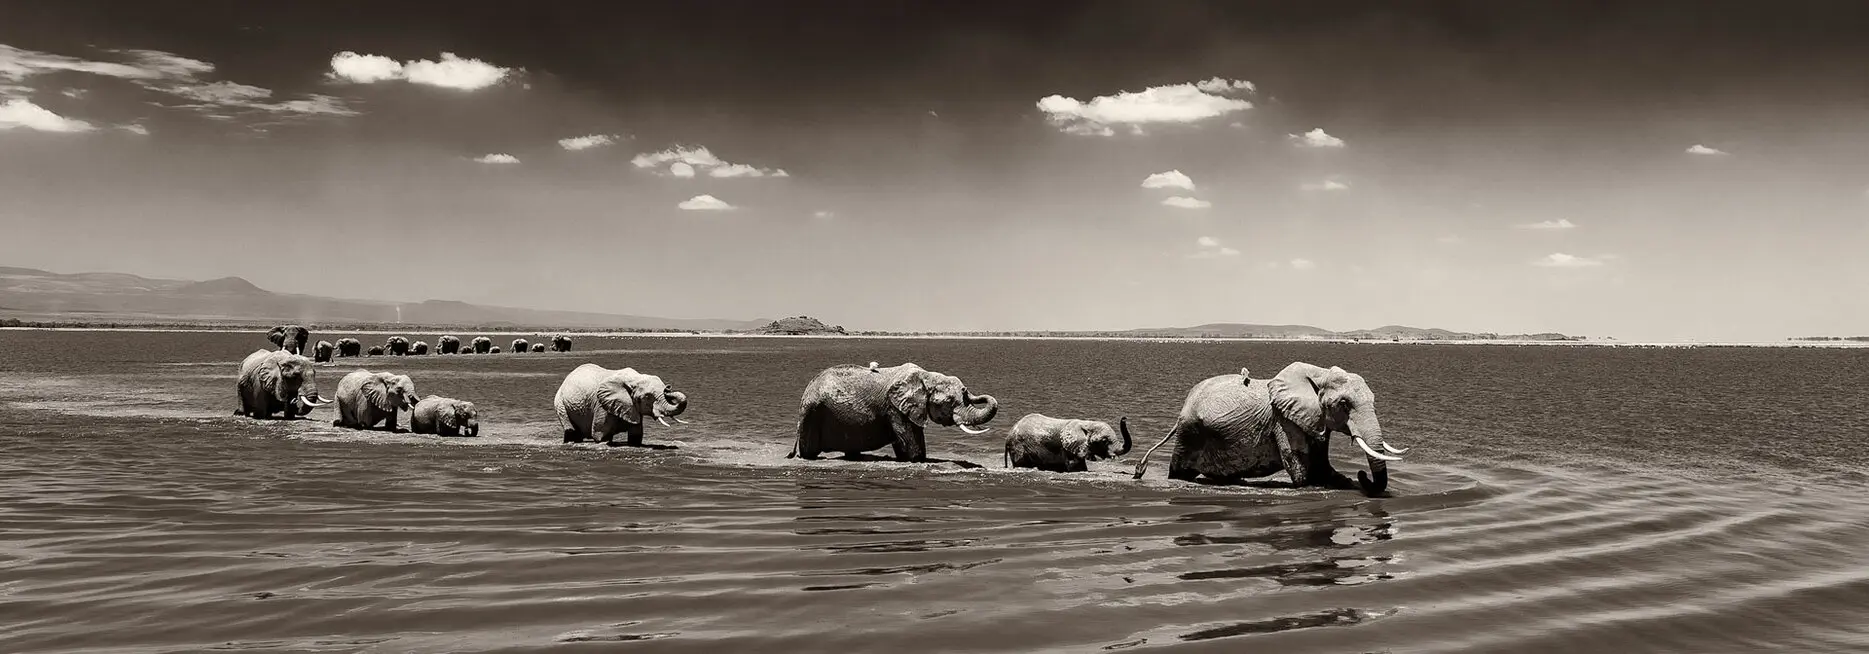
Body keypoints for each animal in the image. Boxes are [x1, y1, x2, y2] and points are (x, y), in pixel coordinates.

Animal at [554, 363, 689, 446]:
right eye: (648, 397)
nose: (668, 387)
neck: (634, 379)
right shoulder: (602, 404)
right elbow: (600, 436)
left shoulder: (632, 408)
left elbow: (636, 436)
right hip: (560, 403)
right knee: (571, 431)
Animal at [789, 362, 999, 462]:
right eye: (948, 402)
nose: (966, 389)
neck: (926, 376)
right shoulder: (894, 407)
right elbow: (907, 434)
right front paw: (916, 460)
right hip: (812, 411)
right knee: (810, 449)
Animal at [1133, 363, 1408, 497]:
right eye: (1344, 404)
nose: (1363, 475)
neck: (1319, 373)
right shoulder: (1283, 419)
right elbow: (1300, 466)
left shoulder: (1313, 418)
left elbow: (1322, 466)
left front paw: (1346, 482)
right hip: (1190, 431)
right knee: (1179, 470)